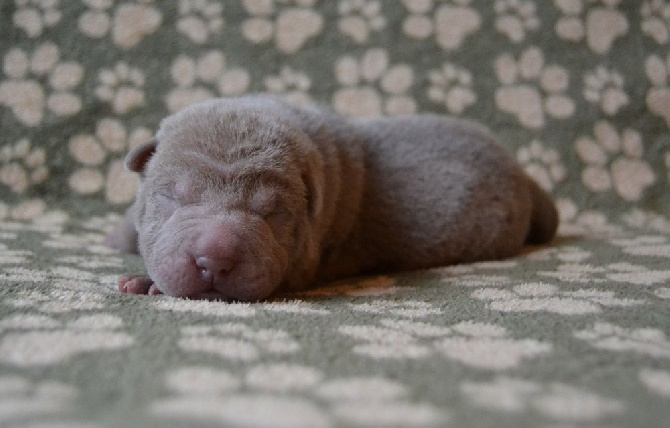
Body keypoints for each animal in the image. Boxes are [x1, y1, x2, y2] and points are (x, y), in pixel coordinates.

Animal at [109, 95, 560, 300]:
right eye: (170, 196)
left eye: (273, 213)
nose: (213, 258)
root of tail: (524, 174)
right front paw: (122, 237)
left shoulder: (307, 260)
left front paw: (146, 283)